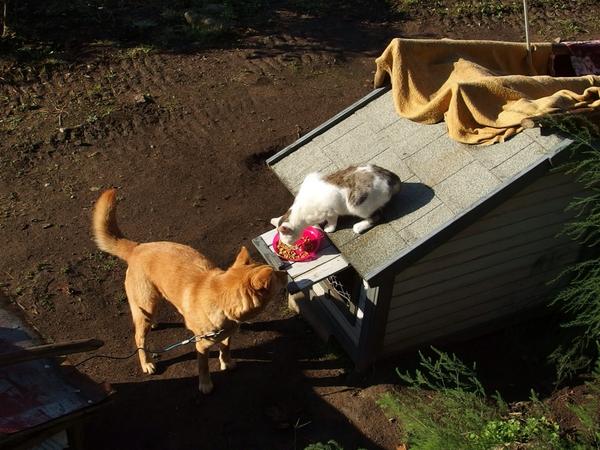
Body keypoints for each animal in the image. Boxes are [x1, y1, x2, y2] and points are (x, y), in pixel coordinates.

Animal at [92, 188, 288, 392]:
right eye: (275, 274)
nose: (285, 272)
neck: (220, 302)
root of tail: (137, 248)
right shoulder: (201, 346)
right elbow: (203, 366)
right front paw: (206, 384)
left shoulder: (227, 334)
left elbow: (226, 347)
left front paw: (227, 362)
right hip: (144, 308)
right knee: (139, 339)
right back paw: (146, 363)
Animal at [274, 164, 404, 244]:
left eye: (283, 236)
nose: (285, 243)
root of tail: (392, 177)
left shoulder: (329, 210)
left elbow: (332, 221)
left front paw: (329, 228)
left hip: (356, 204)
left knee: (377, 216)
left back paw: (358, 227)